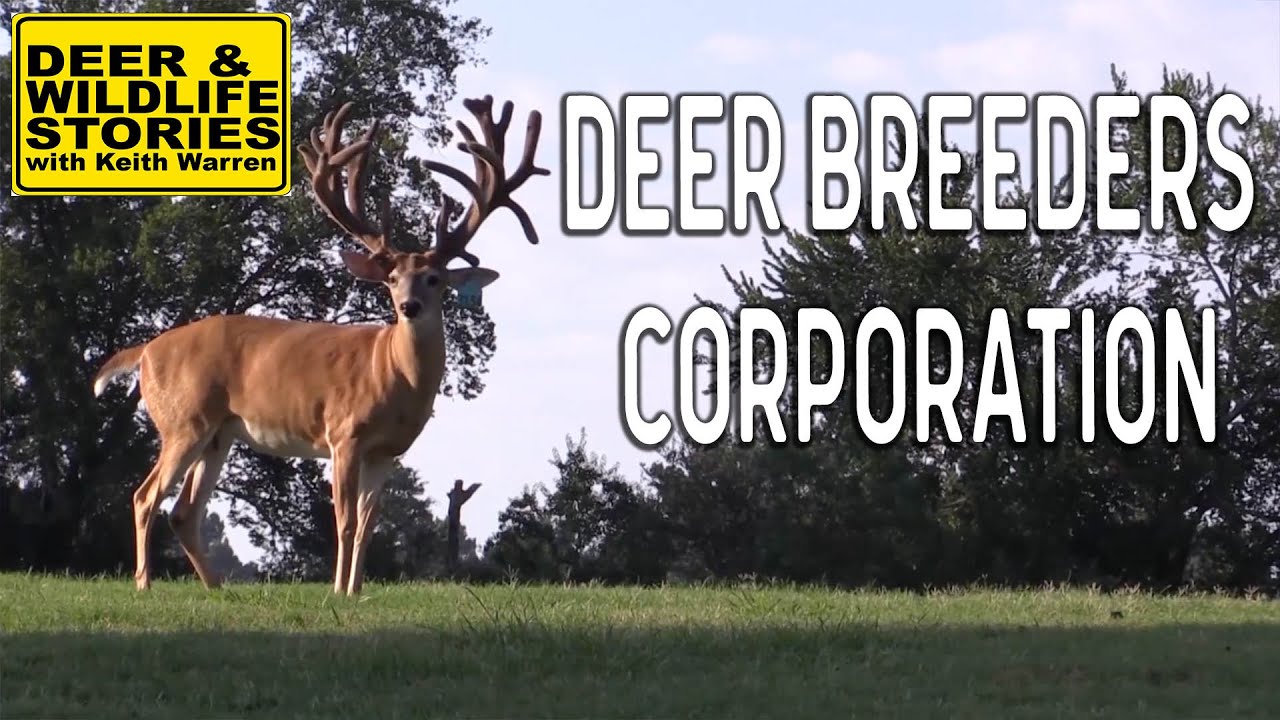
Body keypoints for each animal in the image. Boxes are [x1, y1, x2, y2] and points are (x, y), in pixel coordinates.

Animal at [91, 95, 548, 596]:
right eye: (391, 278)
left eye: (434, 278)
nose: (408, 306)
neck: (393, 377)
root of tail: (146, 351)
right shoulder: (344, 432)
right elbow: (344, 522)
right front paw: (338, 591)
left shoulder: (388, 452)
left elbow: (368, 524)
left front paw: (358, 590)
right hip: (183, 419)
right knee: (143, 496)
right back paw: (145, 585)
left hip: (218, 433)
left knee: (183, 511)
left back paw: (217, 587)